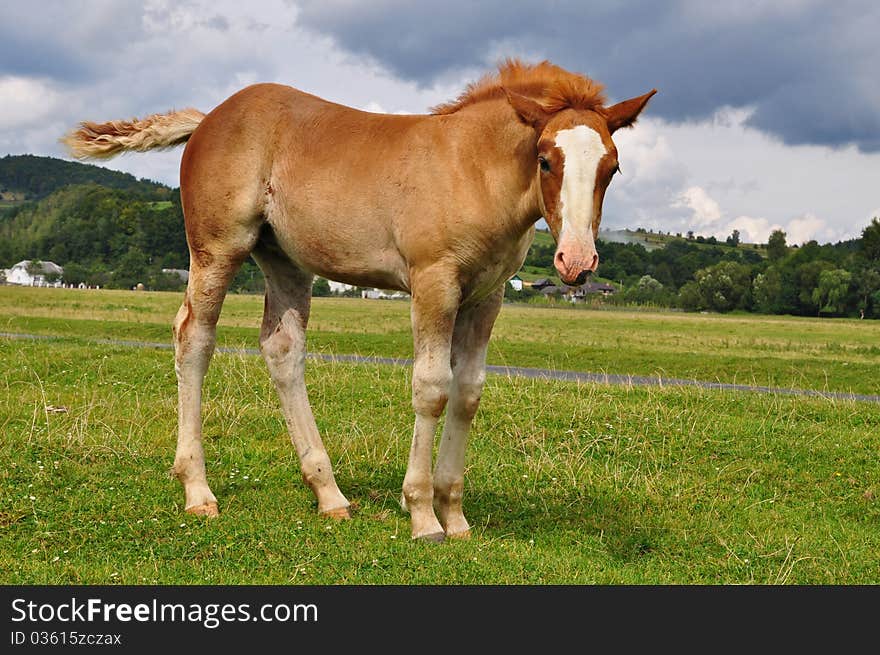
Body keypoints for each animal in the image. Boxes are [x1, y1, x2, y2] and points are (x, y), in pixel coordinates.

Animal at [62, 60, 652, 544]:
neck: (470, 168)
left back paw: (329, 494)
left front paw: (456, 516)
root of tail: (209, 117)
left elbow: (467, 393)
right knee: (194, 339)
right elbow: (431, 388)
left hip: (284, 260)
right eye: (546, 160)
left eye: (612, 168)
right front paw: (423, 516)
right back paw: (197, 490)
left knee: (282, 349)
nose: (576, 261)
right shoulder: (434, 282)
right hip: (217, 248)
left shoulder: (486, 297)